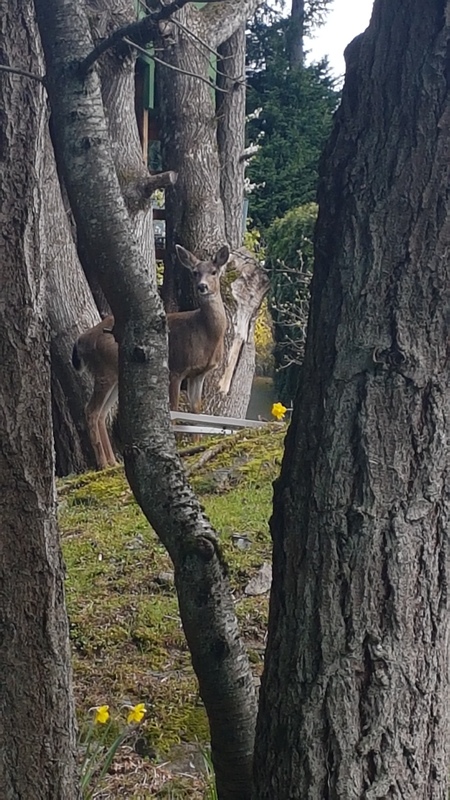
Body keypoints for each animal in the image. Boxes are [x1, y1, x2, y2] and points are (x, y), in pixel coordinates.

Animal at [73, 244, 232, 468]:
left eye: (214, 271)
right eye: (194, 272)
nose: (202, 286)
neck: (205, 332)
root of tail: (81, 340)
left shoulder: (199, 374)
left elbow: (196, 410)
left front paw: (196, 444)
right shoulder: (176, 369)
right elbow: (173, 409)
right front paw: (176, 446)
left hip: (115, 375)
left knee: (102, 413)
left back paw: (113, 462)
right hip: (104, 369)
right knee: (91, 410)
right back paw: (103, 463)